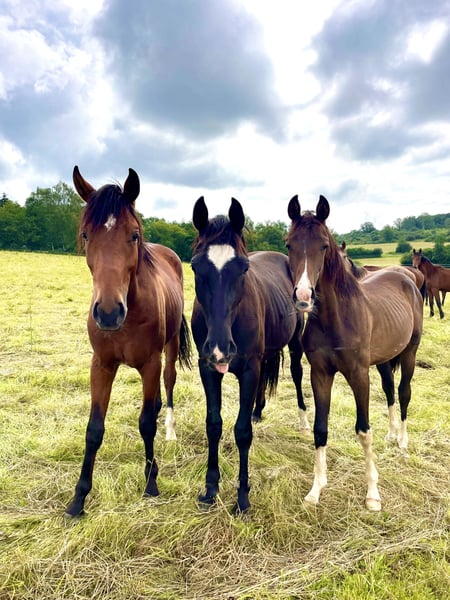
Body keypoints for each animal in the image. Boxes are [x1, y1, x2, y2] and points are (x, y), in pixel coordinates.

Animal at [65, 166, 192, 517]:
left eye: (134, 234)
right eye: (86, 235)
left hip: (169, 349)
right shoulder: (102, 365)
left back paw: (170, 431)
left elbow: (146, 423)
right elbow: (94, 429)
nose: (108, 312)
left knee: (168, 384)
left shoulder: (149, 364)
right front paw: (79, 497)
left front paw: (151, 482)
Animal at [190, 196, 308, 513]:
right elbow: (213, 425)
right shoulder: (208, 368)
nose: (220, 348)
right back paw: (257, 410)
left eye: (243, 269)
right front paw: (210, 488)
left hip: (294, 343)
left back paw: (304, 420)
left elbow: (242, 432)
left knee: (297, 373)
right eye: (195, 267)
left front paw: (242, 497)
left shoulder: (248, 369)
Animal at [286, 195, 423, 511]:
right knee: (389, 390)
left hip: (409, 353)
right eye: (288, 244)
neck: (336, 318)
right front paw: (316, 490)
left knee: (404, 392)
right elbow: (320, 429)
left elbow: (363, 430)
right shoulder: (320, 374)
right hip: (384, 360)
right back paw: (392, 434)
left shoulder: (359, 375)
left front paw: (373, 494)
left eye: (324, 245)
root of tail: (407, 278)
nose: (303, 297)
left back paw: (403, 441)